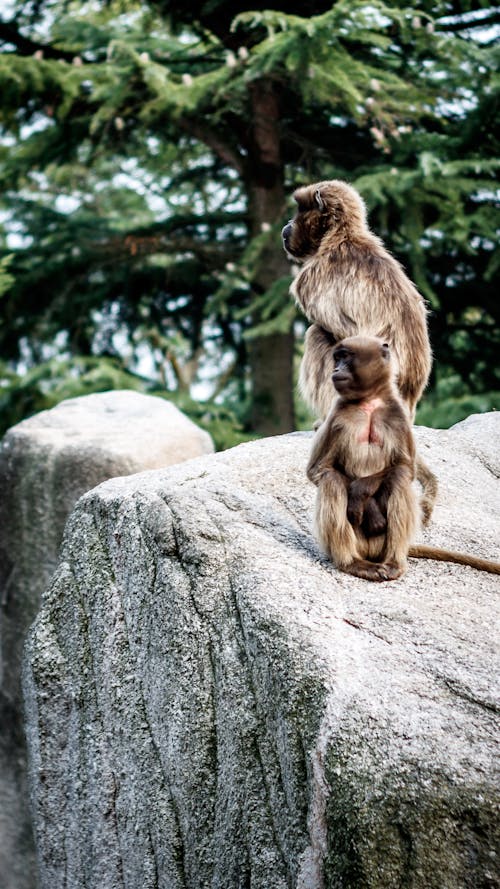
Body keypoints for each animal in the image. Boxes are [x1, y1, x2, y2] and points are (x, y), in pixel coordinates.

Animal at [282, 181, 438, 528]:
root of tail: (407, 403)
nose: (285, 227)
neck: (341, 237)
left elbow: (345, 336)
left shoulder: (313, 275)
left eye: (299, 211)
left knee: (317, 335)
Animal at [308, 336, 500, 580]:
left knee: (398, 479)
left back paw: (393, 562)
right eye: (338, 357)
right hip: (357, 542)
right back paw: (352, 563)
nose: (336, 370)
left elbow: (405, 468)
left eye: (346, 357)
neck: (369, 402)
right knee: (331, 480)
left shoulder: (398, 417)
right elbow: (319, 469)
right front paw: (368, 507)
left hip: (381, 543)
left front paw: (362, 491)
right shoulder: (337, 416)